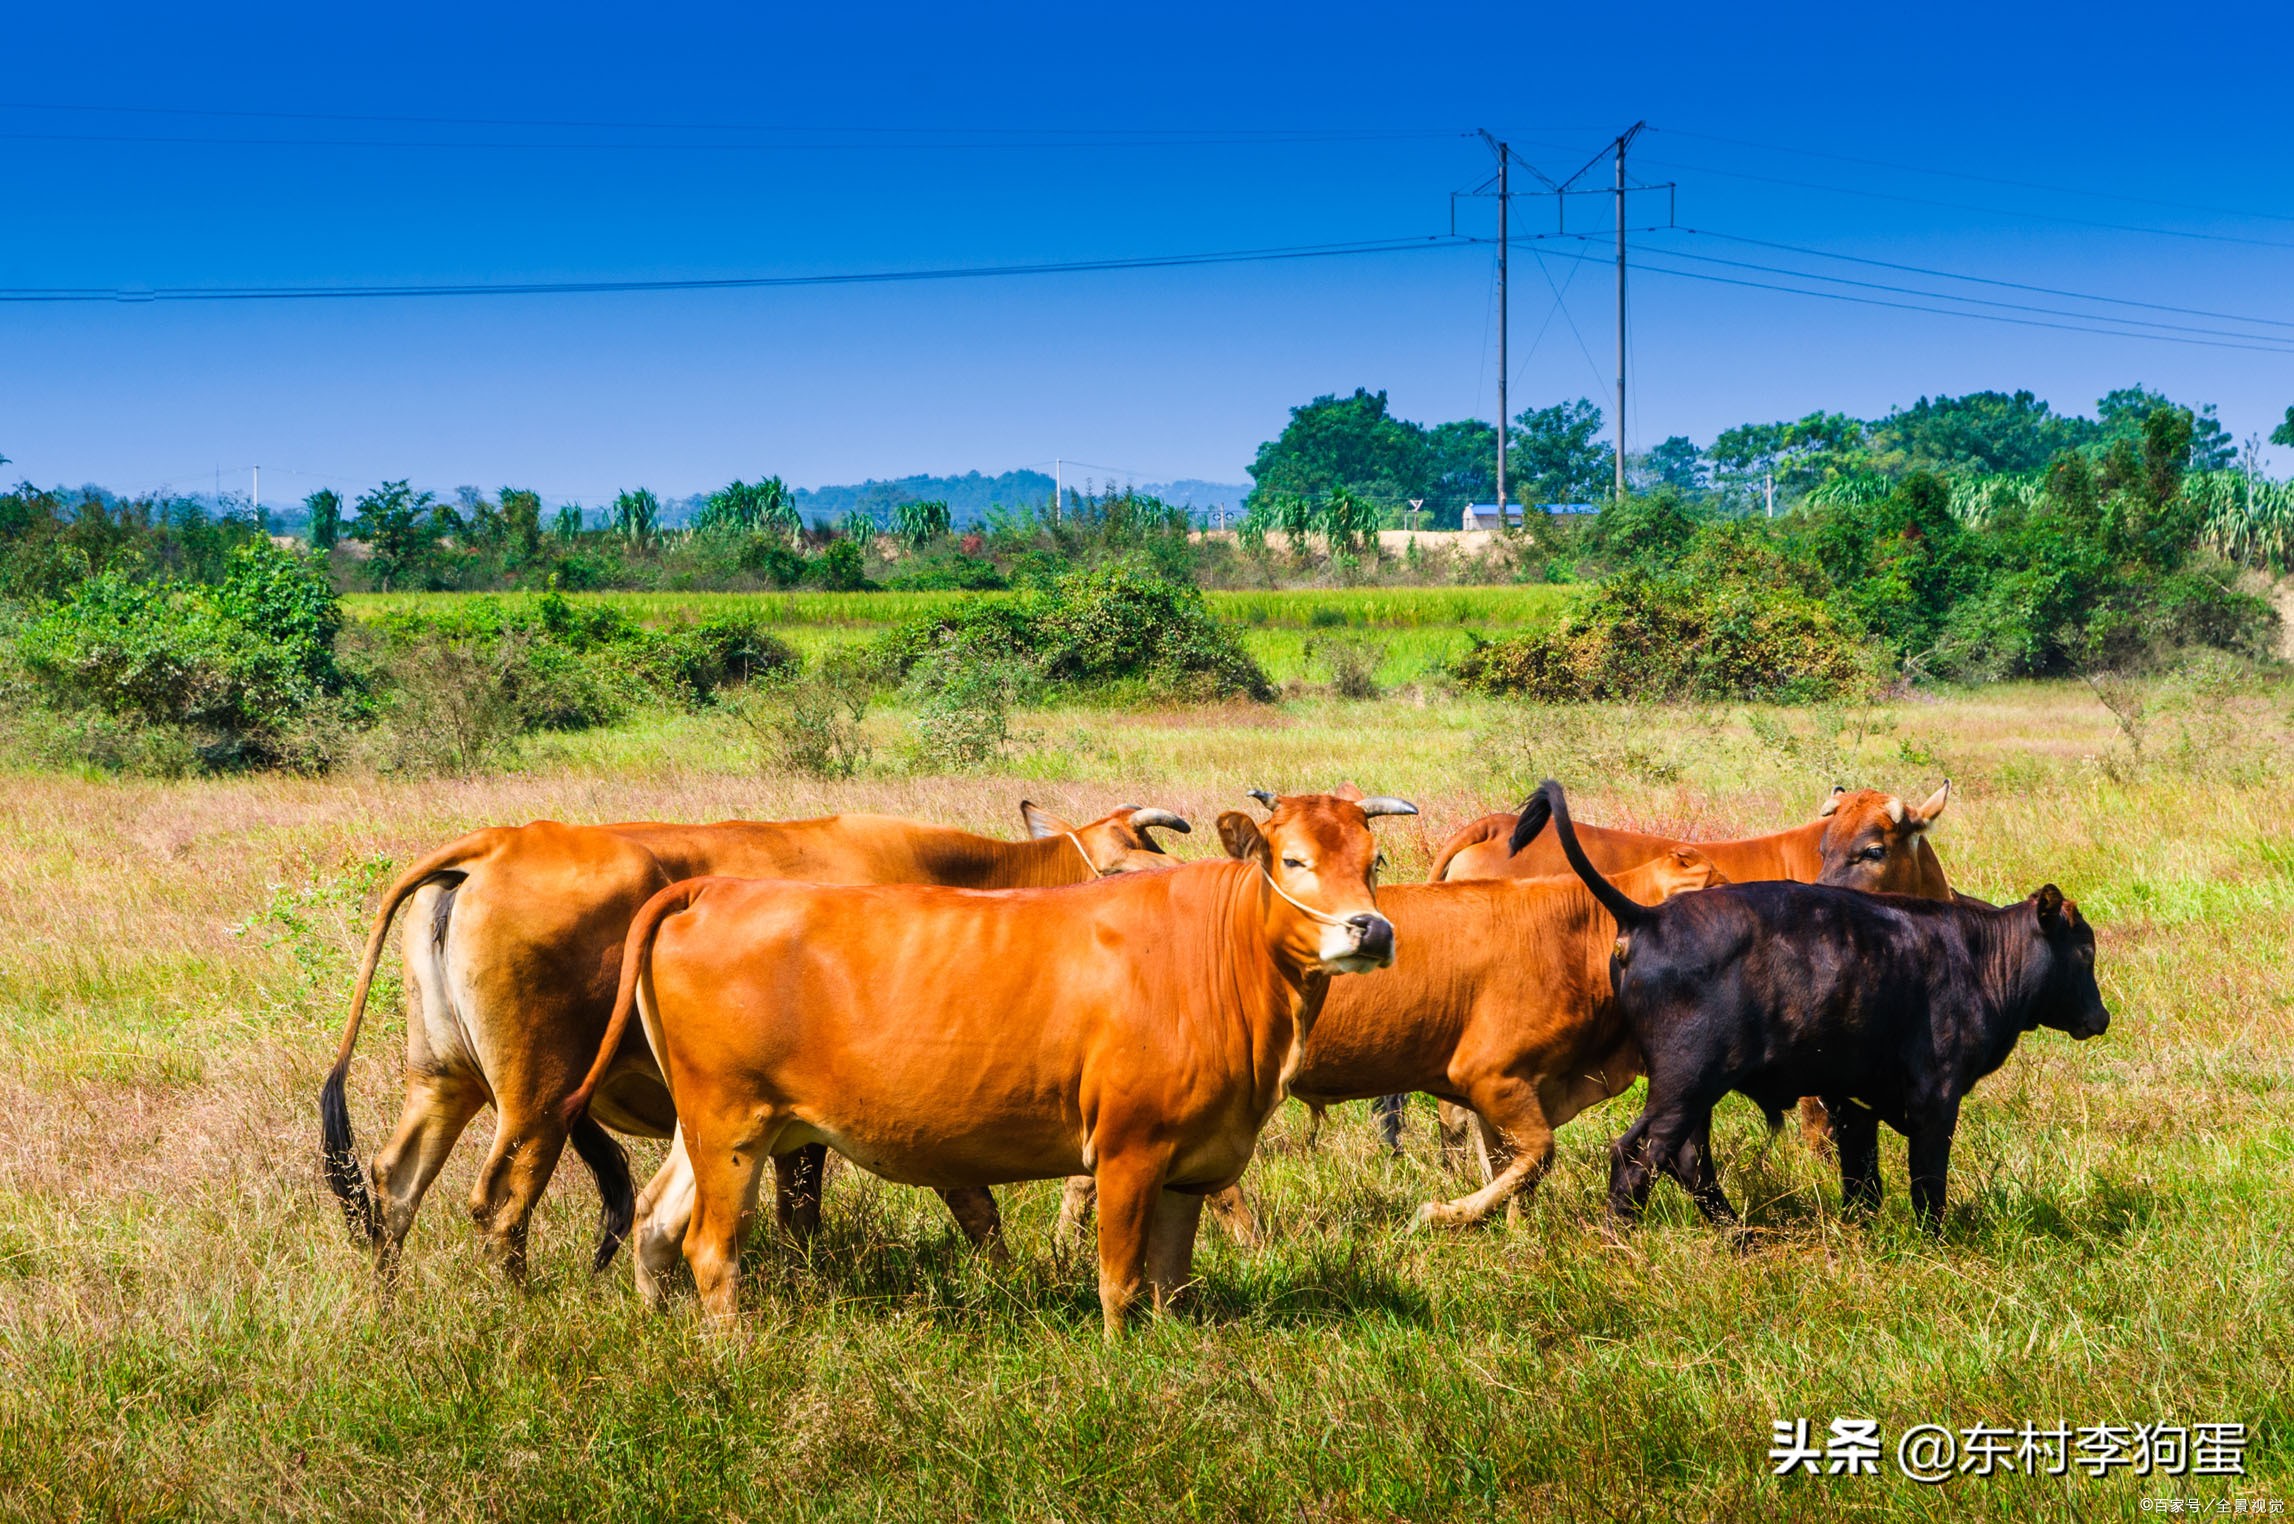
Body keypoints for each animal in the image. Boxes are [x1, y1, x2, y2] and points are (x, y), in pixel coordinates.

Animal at [318, 803, 1183, 1276]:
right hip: (538, 1101)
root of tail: (494, 846)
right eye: (1125, 868)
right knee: (499, 1206)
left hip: (445, 1081)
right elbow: (939, 1203)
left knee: (391, 1186)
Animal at [562, 789, 1403, 1340]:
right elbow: (1121, 1282)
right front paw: (1122, 1364)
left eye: (1374, 860)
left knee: (653, 1221)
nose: (1371, 929)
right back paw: (733, 1350)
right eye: (1292, 859)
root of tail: (709, 889)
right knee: (709, 1246)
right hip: (734, 1128)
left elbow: (1171, 1282)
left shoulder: (1190, 1164)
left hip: (711, 1129)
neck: (1213, 950)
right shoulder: (1130, 1150)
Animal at [1532, 780, 2101, 1230]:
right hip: (1682, 1086)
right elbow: (1927, 1185)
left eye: (1872, 850)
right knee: (1636, 1160)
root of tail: (1647, 916)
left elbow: (1863, 1181)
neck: (1976, 951)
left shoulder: (1855, 1102)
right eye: (2086, 950)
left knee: (1687, 1160)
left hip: (1692, 1093)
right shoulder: (1935, 1099)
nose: (2102, 1017)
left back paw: (1740, 1236)